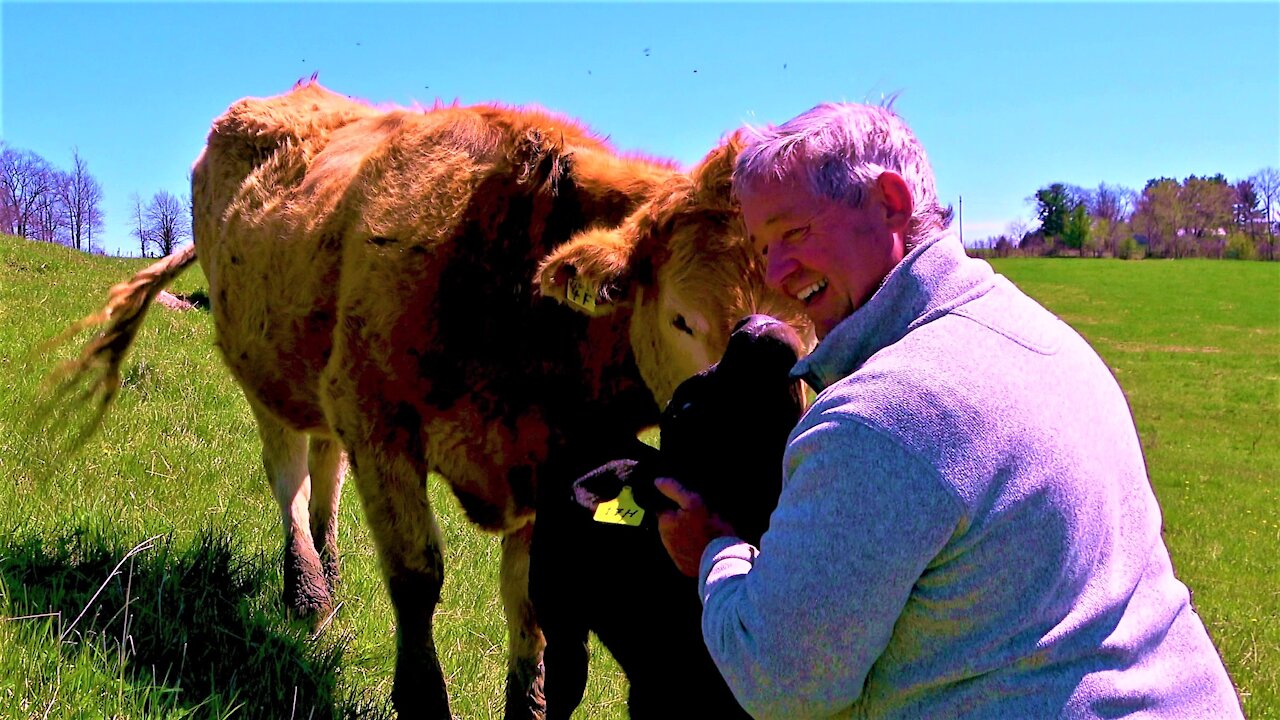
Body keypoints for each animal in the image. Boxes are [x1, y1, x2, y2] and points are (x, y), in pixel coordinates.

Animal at [52, 81, 808, 712]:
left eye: (810, 313)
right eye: (682, 318)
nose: (774, 444)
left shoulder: (554, 459)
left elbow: (527, 604)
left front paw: (528, 704)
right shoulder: (380, 421)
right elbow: (417, 575)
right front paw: (419, 695)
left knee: (326, 470)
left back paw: (329, 573)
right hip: (266, 375)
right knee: (289, 476)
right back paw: (306, 591)